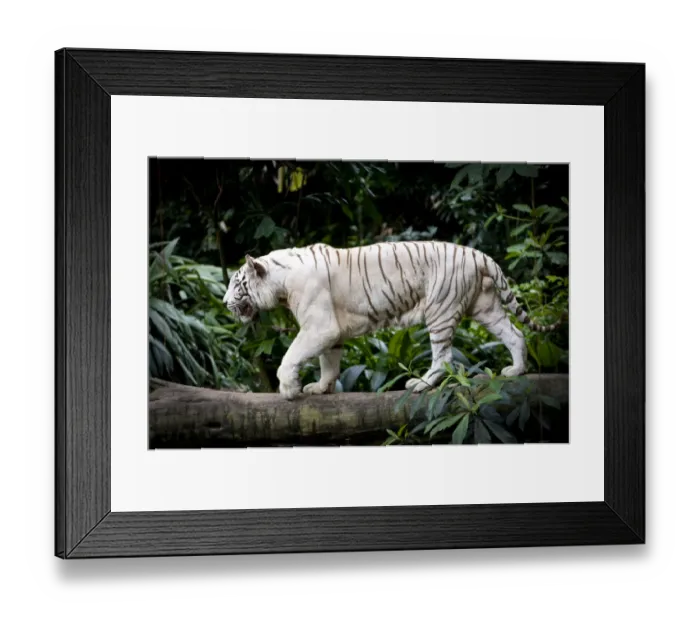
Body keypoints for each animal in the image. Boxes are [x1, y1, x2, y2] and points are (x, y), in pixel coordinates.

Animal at [223, 241, 565, 400]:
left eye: (237, 284)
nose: (225, 303)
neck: (281, 282)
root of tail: (479, 254)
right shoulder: (331, 331)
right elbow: (328, 362)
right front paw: (321, 388)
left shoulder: (319, 326)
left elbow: (291, 356)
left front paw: (288, 388)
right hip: (485, 307)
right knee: (515, 334)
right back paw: (516, 370)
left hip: (440, 309)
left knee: (444, 357)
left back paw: (421, 384)